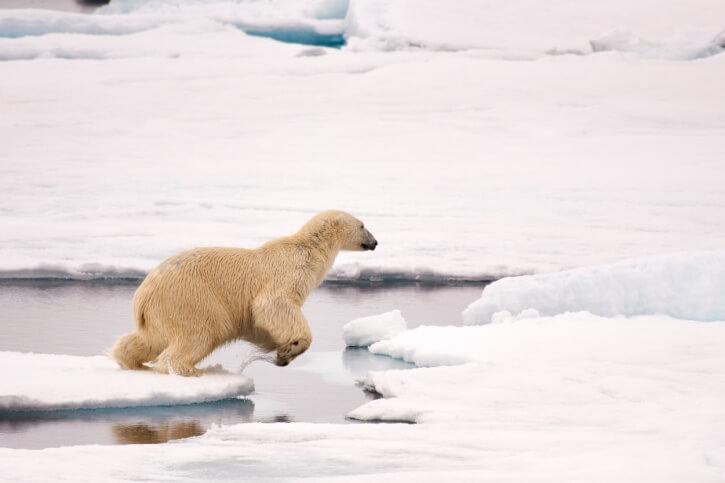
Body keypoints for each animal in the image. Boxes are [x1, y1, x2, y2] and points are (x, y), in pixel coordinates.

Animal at [110, 212, 378, 378]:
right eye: (362, 225)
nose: (375, 242)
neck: (307, 248)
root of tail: (142, 296)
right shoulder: (288, 272)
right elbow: (271, 305)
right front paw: (292, 347)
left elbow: (258, 324)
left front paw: (281, 353)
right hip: (190, 298)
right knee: (201, 333)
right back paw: (190, 370)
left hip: (159, 312)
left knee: (149, 338)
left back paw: (131, 362)